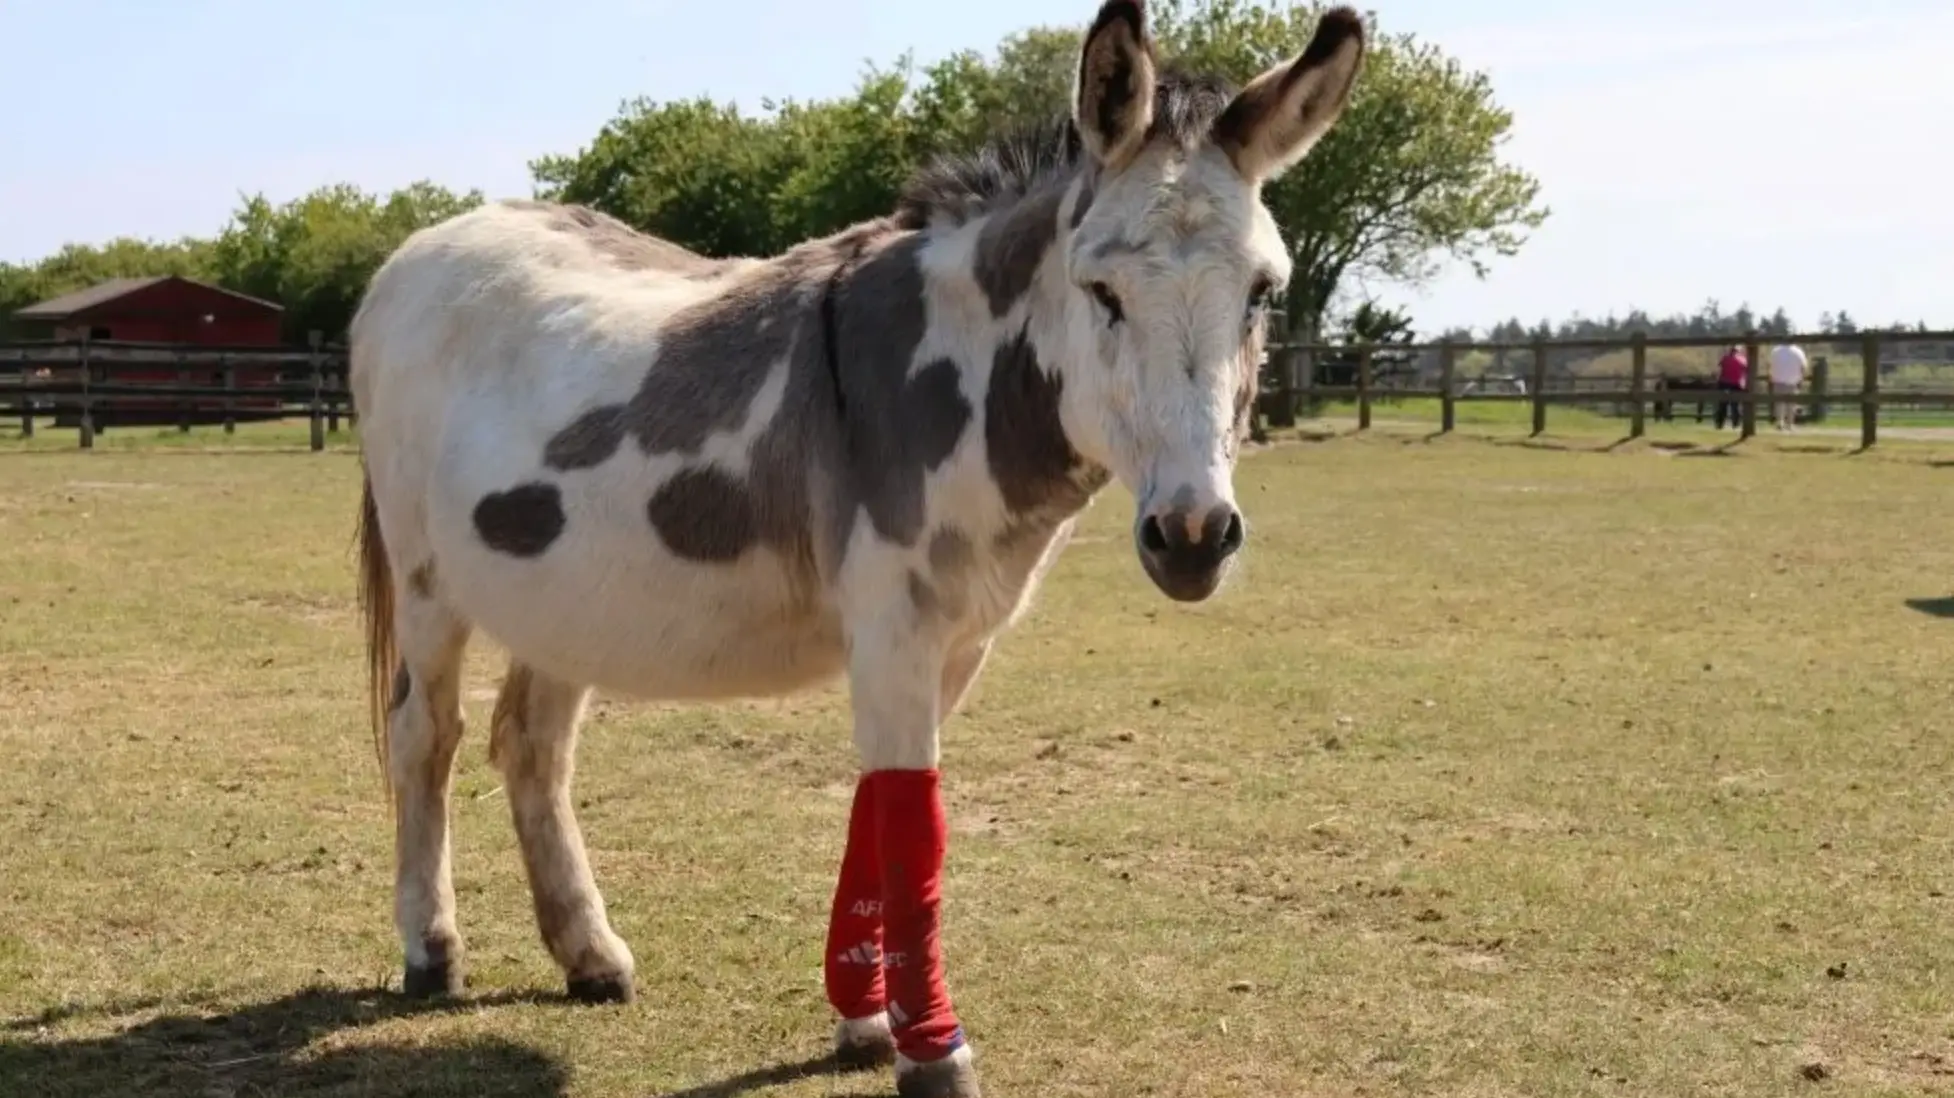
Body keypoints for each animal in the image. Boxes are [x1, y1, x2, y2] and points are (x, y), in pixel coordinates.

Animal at [349, 3, 1365, 1093]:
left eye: (1262, 292)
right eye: (1102, 290)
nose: (1192, 537)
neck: (955, 378)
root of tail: (433, 237)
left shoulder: (958, 641)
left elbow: (879, 812)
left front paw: (864, 1018)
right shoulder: (893, 624)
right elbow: (914, 822)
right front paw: (934, 1050)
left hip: (563, 597)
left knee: (530, 746)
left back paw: (588, 954)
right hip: (428, 584)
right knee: (426, 737)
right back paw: (430, 949)